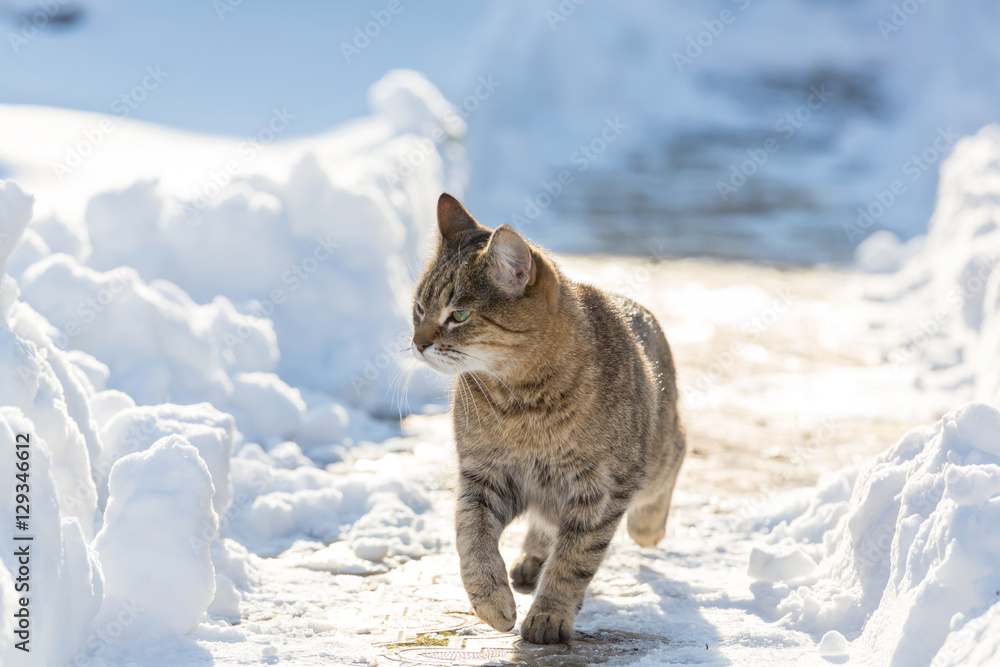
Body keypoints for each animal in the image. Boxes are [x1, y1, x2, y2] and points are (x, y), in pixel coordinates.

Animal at [410, 196, 684, 644]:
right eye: (419, 309)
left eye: (460, 315)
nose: (417, 343)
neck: (521, 405)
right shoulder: (482, 475)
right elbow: (471, 538)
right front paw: (492, 600)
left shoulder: (601, 489)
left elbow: (574, 559)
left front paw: (549, 614)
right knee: (545, 522)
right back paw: (532, 558)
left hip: (653, 459)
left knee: (678, 451)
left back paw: (646, 526)